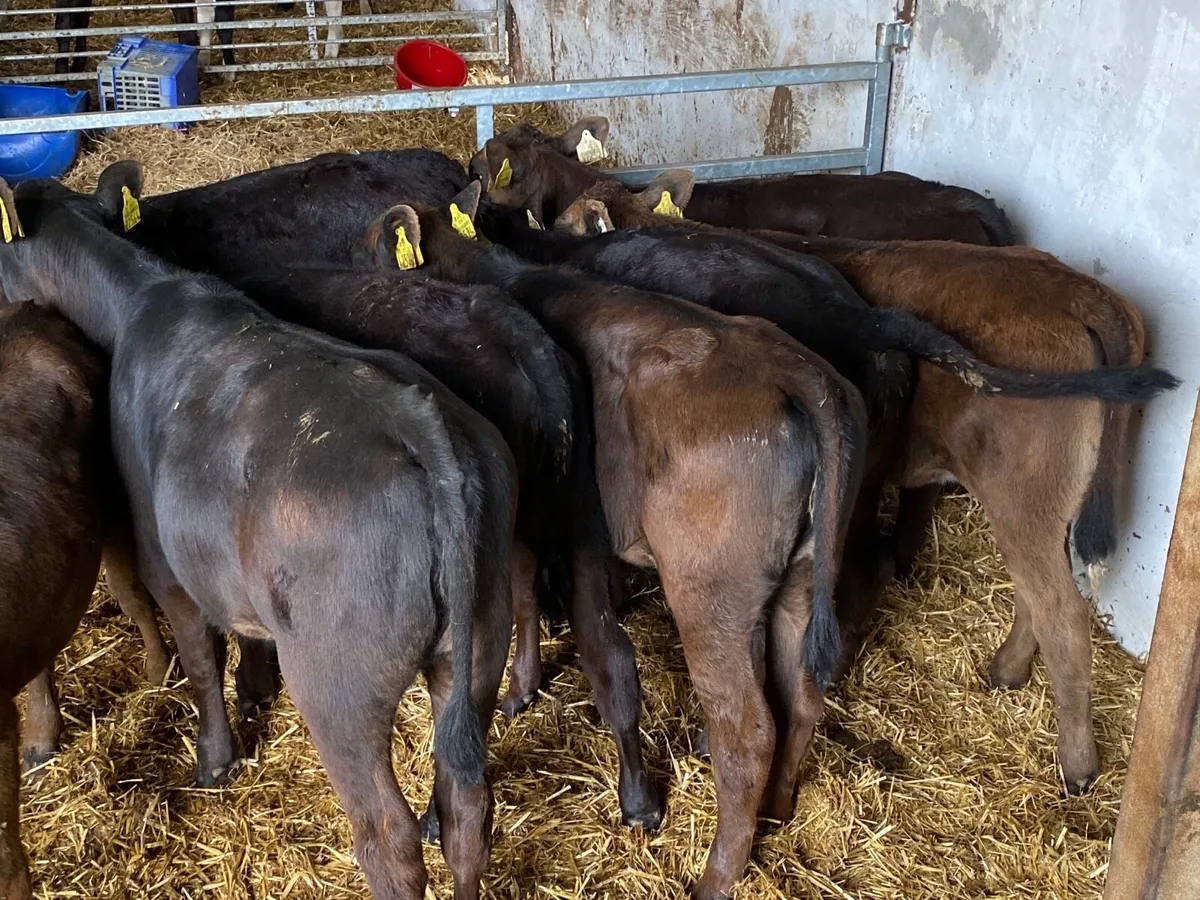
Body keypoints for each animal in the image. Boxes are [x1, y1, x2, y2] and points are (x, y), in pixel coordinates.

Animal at [0, 168, 517, 900]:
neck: (139, 303)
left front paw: (214, 758)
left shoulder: (166, 562)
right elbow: (244, 634)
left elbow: (199, 657)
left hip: (340, 687)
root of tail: (430, 435)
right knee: (465, 809)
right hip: (479, 643)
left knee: (388, 838)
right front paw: (255, 686)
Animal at [357, 186, 870, 900]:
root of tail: (802, 376)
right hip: (803, 576)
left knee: (747, 733)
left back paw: (715, 876)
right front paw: (524, 686)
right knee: (803, 694)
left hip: (709, 597)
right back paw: (777, 808)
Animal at [545, 173, 1180, 795]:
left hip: (1021, 497)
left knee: (1062, 614)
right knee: (1034, 594)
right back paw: (1006, 671)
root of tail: (1087, 294)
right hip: (1034, 507)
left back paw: (1079, 767)